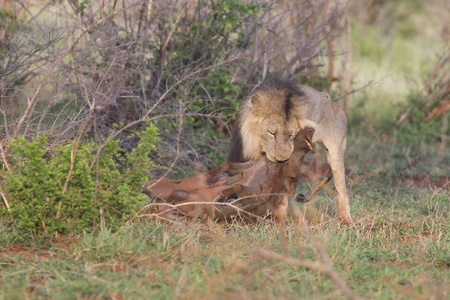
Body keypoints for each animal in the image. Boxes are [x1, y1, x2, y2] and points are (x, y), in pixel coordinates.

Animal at [227, 78, 354, 224]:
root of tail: (331, 101)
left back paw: (346, 221)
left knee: (342, 192)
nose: (282, 159)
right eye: (272, 133)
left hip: (335, 153)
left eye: (291, 135)